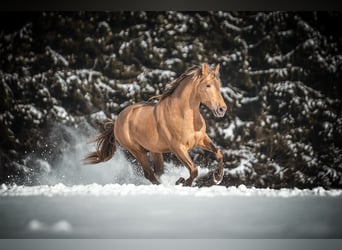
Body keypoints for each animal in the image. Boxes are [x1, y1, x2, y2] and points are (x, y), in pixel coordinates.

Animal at [84, 63, 227, 187]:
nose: (222, 109)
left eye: (219, 85)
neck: (184, 115)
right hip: (136, 151)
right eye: (208, 85)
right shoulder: (178, 148)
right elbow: (193, 170)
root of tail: (117, 120)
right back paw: (170, 183)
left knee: (157, 172)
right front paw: (184, 183)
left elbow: (219, 153)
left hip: (155, 151)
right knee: (149, 174)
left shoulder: (201, 139)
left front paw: (217, 177)